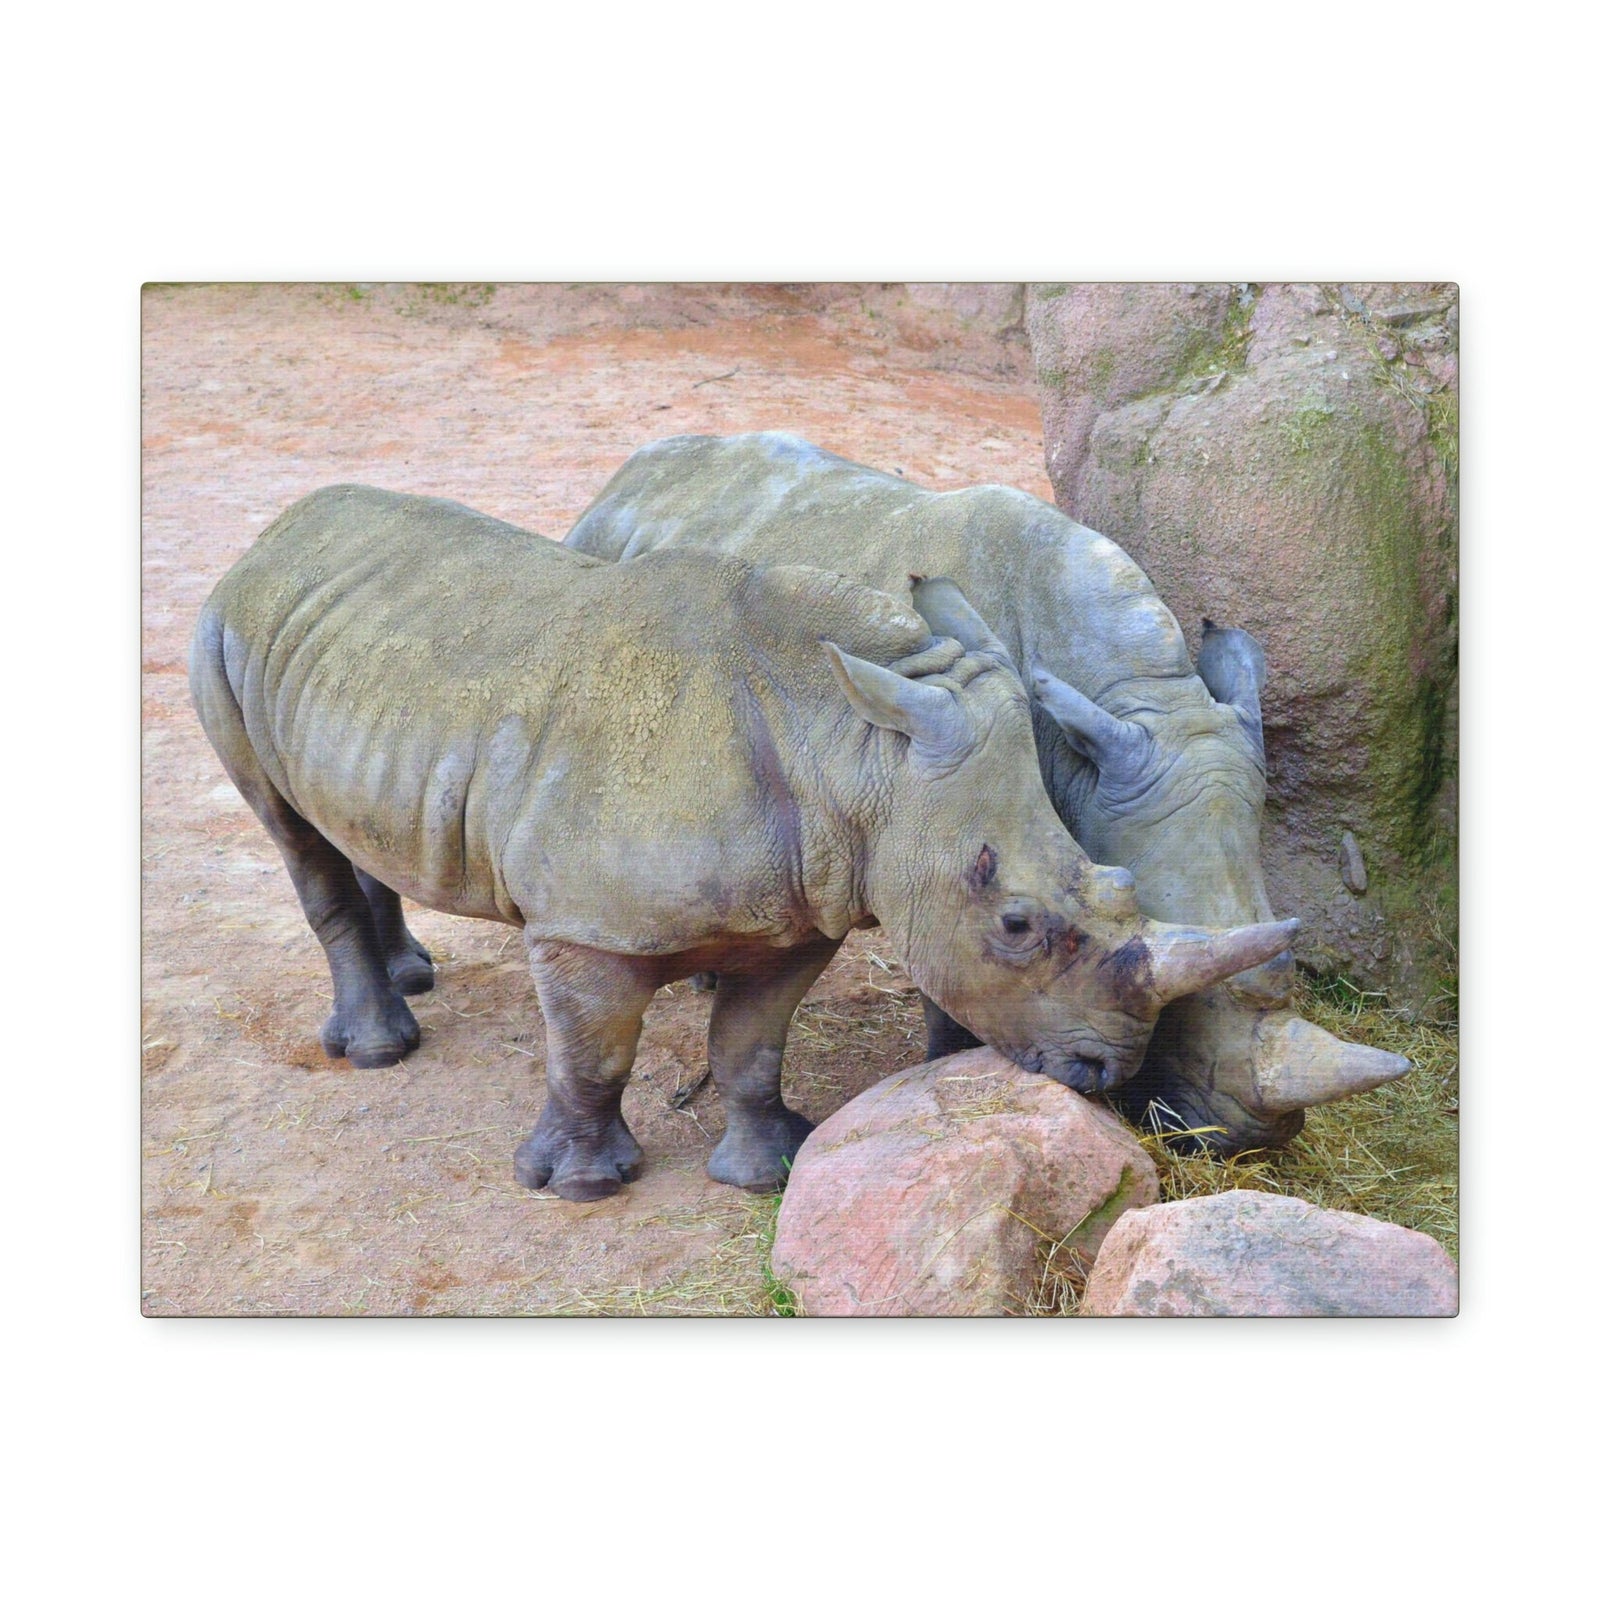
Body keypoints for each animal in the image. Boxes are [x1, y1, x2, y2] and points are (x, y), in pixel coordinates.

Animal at [190, 484, 1300, 1200]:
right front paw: (581, 1187)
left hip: (341, 646)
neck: (856, 749)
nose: (1104, 1071)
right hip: (219, 628)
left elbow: (752, 1046)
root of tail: (273, 535)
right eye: (1017, 923)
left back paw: (412, 976)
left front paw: (767, 1170)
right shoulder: (582, 924)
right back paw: (382, 1048)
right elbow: (592, 1050)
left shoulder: (802, 906)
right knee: (289, 831)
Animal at [564, 431, 1411, 1153]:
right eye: (1186, 1004)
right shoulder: (954, 818)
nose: (1242, 1141)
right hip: (605, 576)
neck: (1138, 702)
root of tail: (625, 474)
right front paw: (952, 1065)